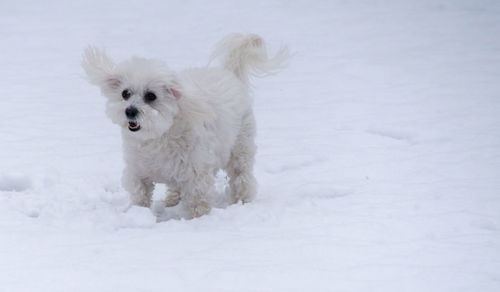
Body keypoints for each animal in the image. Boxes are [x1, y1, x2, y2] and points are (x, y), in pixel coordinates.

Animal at [81, 33, 286, 217]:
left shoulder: (196, 175)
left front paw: (196, 220)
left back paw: (242, 200)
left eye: (151, 96)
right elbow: (140, 195)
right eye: (125, 93)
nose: (130, 111)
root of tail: (229, 73)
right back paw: (172, 201)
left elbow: (197, 203)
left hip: (240, 149)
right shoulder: (139, 172)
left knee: (242, 177)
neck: (158, 135)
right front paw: (136, 214)